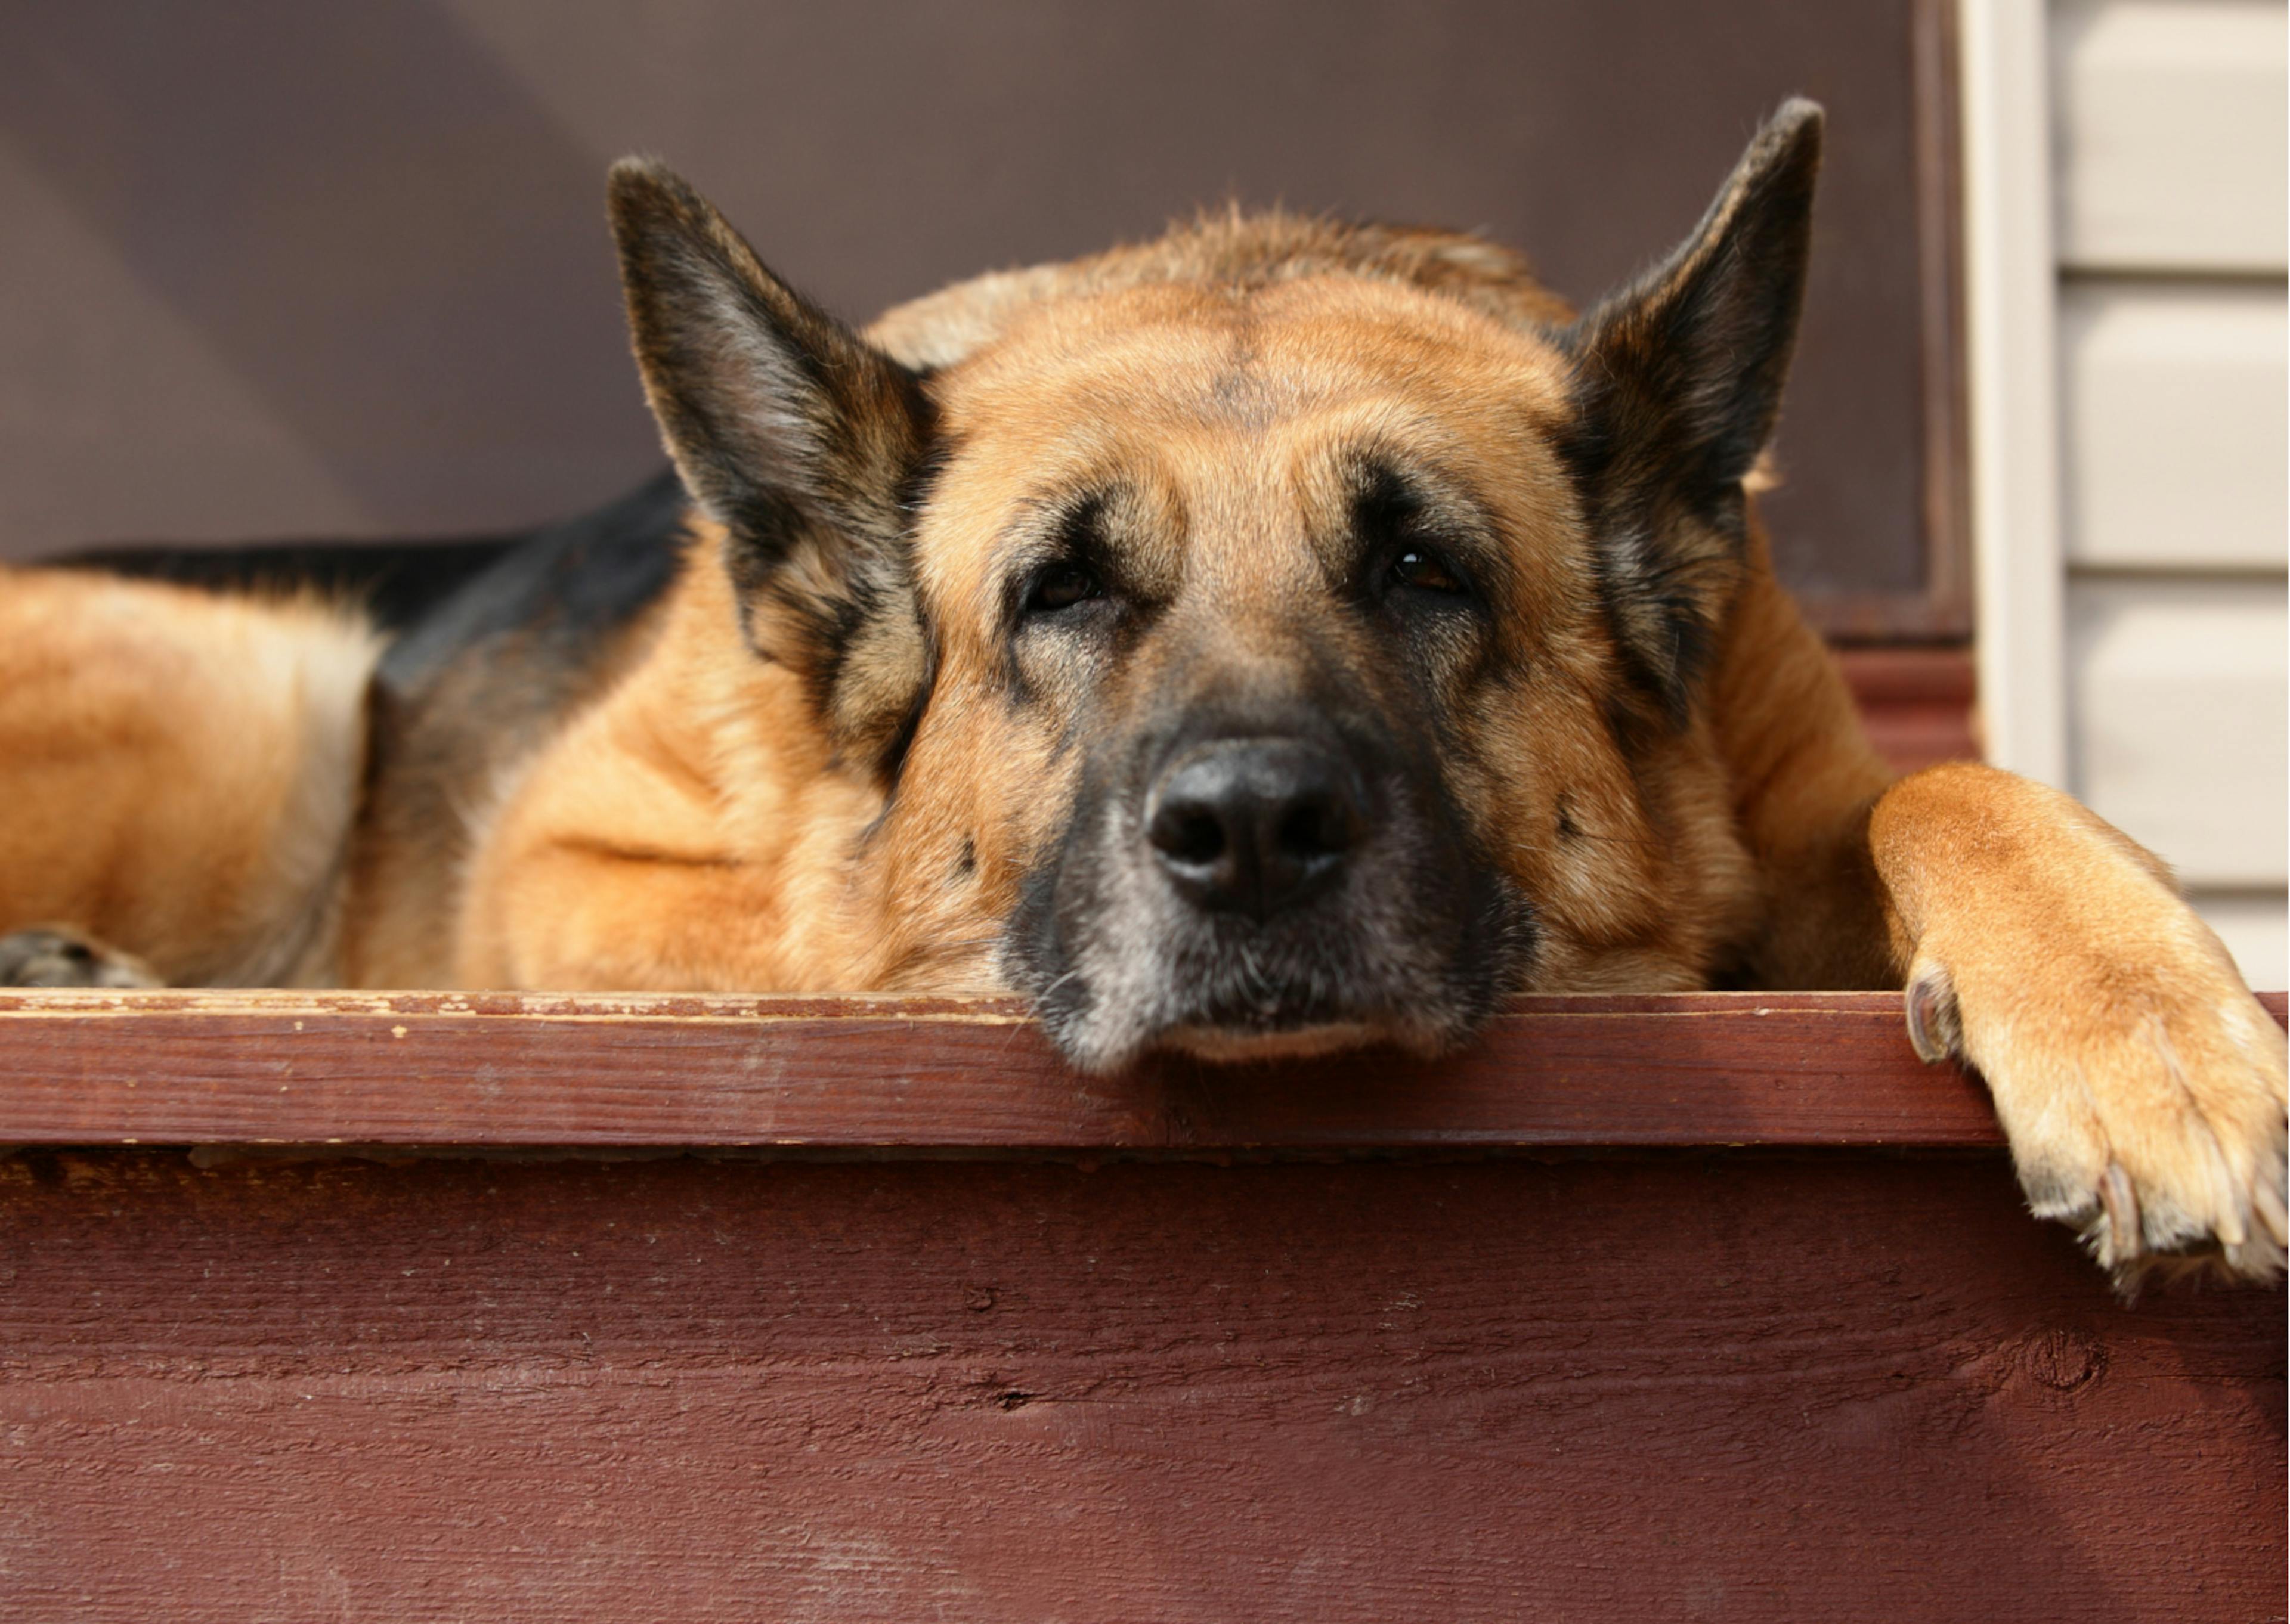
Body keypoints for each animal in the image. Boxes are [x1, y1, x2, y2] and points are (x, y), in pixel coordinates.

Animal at [4, 107, 2290, 1282]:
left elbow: (1948, 784)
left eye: (1424, 568)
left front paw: (2150, 1031)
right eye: (1059, 593)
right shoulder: (587, 872)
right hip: (266, 690)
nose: (1253, 834)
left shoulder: (1800, 773)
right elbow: (841, 945)